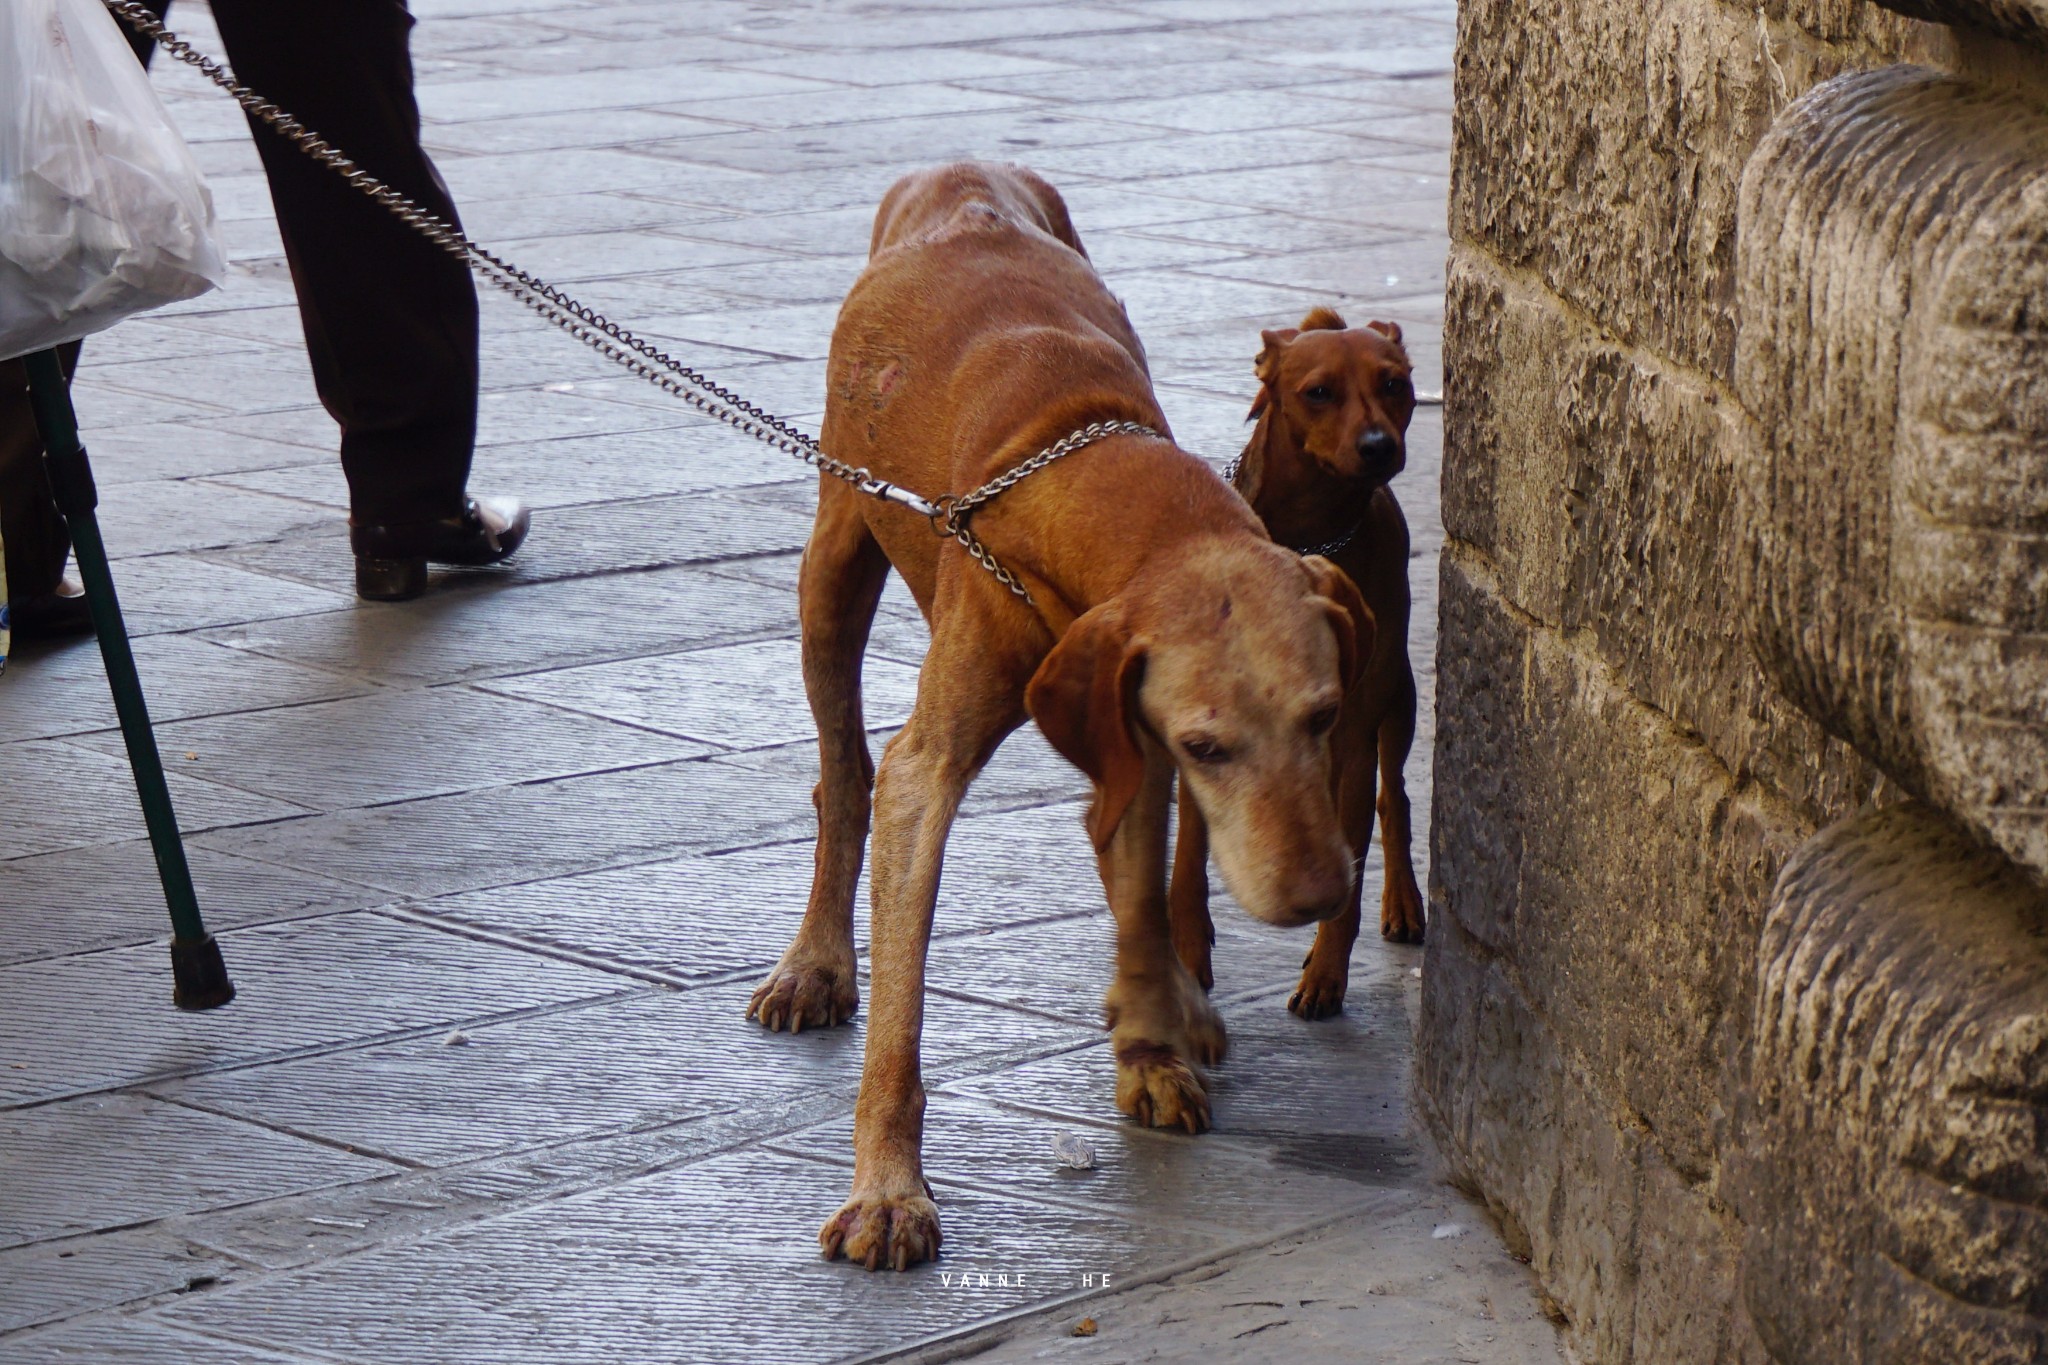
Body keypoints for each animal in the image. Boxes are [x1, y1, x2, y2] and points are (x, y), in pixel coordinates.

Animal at [745, 167, 1368, 1268]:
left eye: (1326, 717)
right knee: (845, 776)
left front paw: (1153, 1042)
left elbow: (1139, 890)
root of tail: (955, 170)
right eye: (1212, 745)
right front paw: (890, 1190)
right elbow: (901, 1004)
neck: (1089, 462)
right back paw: (815, 961)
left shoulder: (1133, 737)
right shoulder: (942, 768)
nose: (1319, 894)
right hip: (835, 555)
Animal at [1171, 304, 1425, 1019]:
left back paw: (1402, 903)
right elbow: (1187, 854)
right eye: (1318, 392)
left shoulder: (1351, 731)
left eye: (1395, 384)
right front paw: (1188, 952)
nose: (1378, 446)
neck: (1313, 530)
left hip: (1397, 698)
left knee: (1392, 799)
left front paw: (1326, 974)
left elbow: (1350, 866)